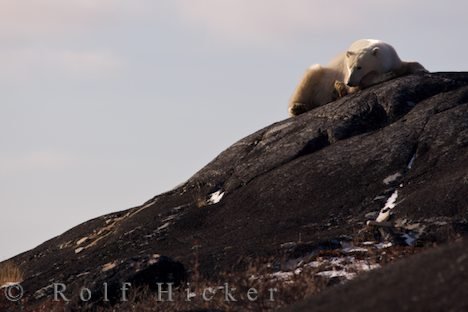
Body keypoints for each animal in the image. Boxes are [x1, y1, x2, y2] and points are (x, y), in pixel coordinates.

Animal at [288, 38, 426, 116]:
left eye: (359, 67)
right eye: (349, 67)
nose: (349, 82)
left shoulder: (393, 58)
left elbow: (408, 64)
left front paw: (421, 69)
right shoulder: (346, 73)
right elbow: (365, 80)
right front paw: (388, 74)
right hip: (319, 76)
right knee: (311, 75)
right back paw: (298, 107)